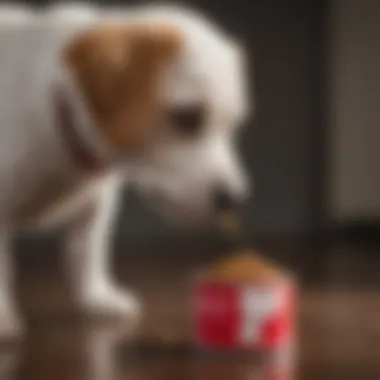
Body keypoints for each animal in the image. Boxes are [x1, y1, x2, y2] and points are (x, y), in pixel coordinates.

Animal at [0, 3, 249, 338]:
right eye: (187, 117)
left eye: (233, 126)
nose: (233, 200)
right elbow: (4, 266)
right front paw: (2, 316)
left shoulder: (99, 201)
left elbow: (88, 250)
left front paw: (97, 297)